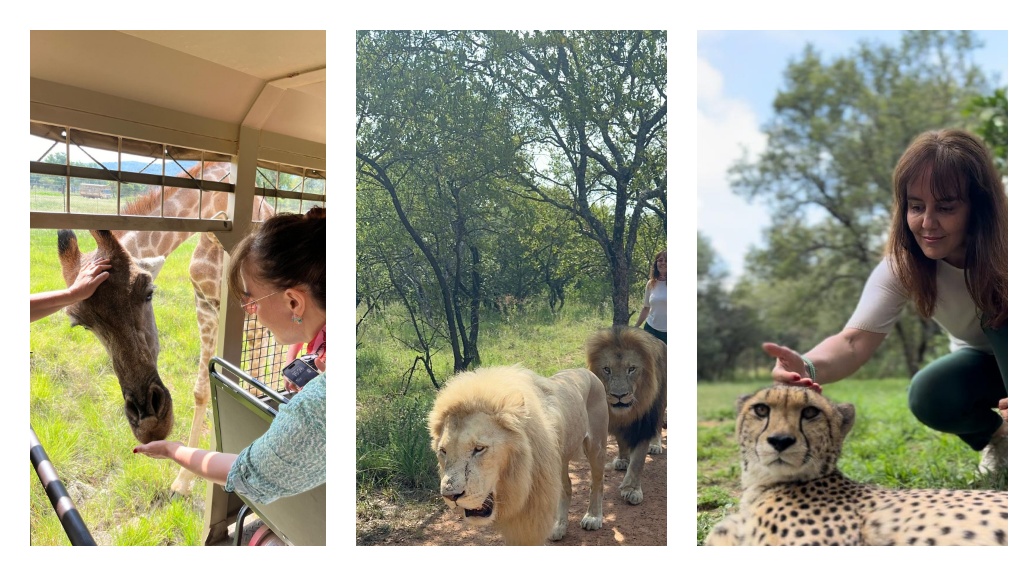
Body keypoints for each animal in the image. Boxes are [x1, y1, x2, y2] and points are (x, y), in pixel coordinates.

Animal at [425, 362, 606, 541]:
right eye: (443, 451)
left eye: (479, 449)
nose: (451, 496)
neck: (513, 479)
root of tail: (583, 370)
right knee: (566, 487)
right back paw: (559, 526)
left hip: (596, 446)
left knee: (597, 482)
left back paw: (593, 517)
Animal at [589, 325, 667, 504]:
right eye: (607, 369)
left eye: (631, 369)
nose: (619, 396)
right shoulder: (616, 421)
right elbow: (621, 440)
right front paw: (623, 459)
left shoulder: (644, 423)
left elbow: (638, 461)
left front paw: (631, 489)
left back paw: (656, 444)